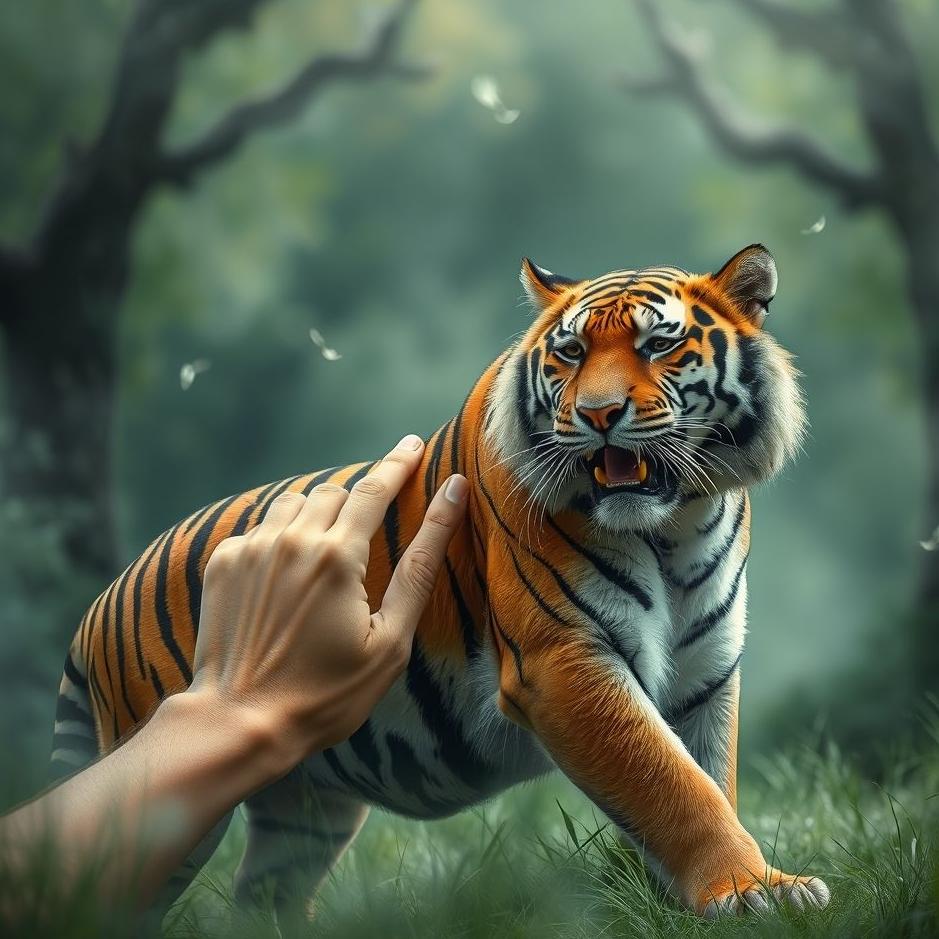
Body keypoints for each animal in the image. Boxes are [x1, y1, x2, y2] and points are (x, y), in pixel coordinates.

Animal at [51, 244, 829, 924]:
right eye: (572, 353)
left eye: (658, 345)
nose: (598, 414)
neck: (675, 528)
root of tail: (99, 603)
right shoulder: (563, 660)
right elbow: (670, 783)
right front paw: (748, 893)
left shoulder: (705, 672)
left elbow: (706, 776)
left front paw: (705, 897)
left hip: (303, 806)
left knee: (263, 895)